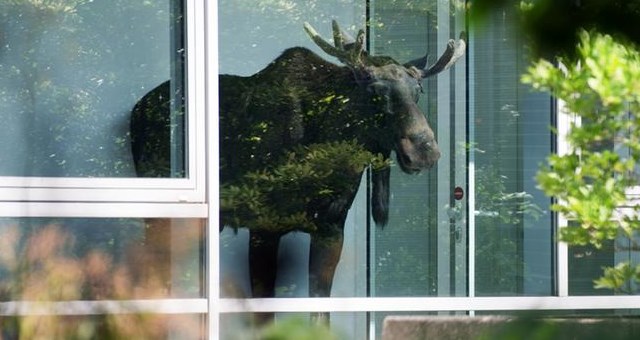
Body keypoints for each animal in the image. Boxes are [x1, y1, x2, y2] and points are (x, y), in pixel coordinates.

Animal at [130, 20, 464, 322]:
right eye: (375, 91)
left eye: (418, 90)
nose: (424, 151)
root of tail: (137, 110)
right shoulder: (264, 227)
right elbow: (263, 315)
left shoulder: (331, 229)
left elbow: (320, 312)